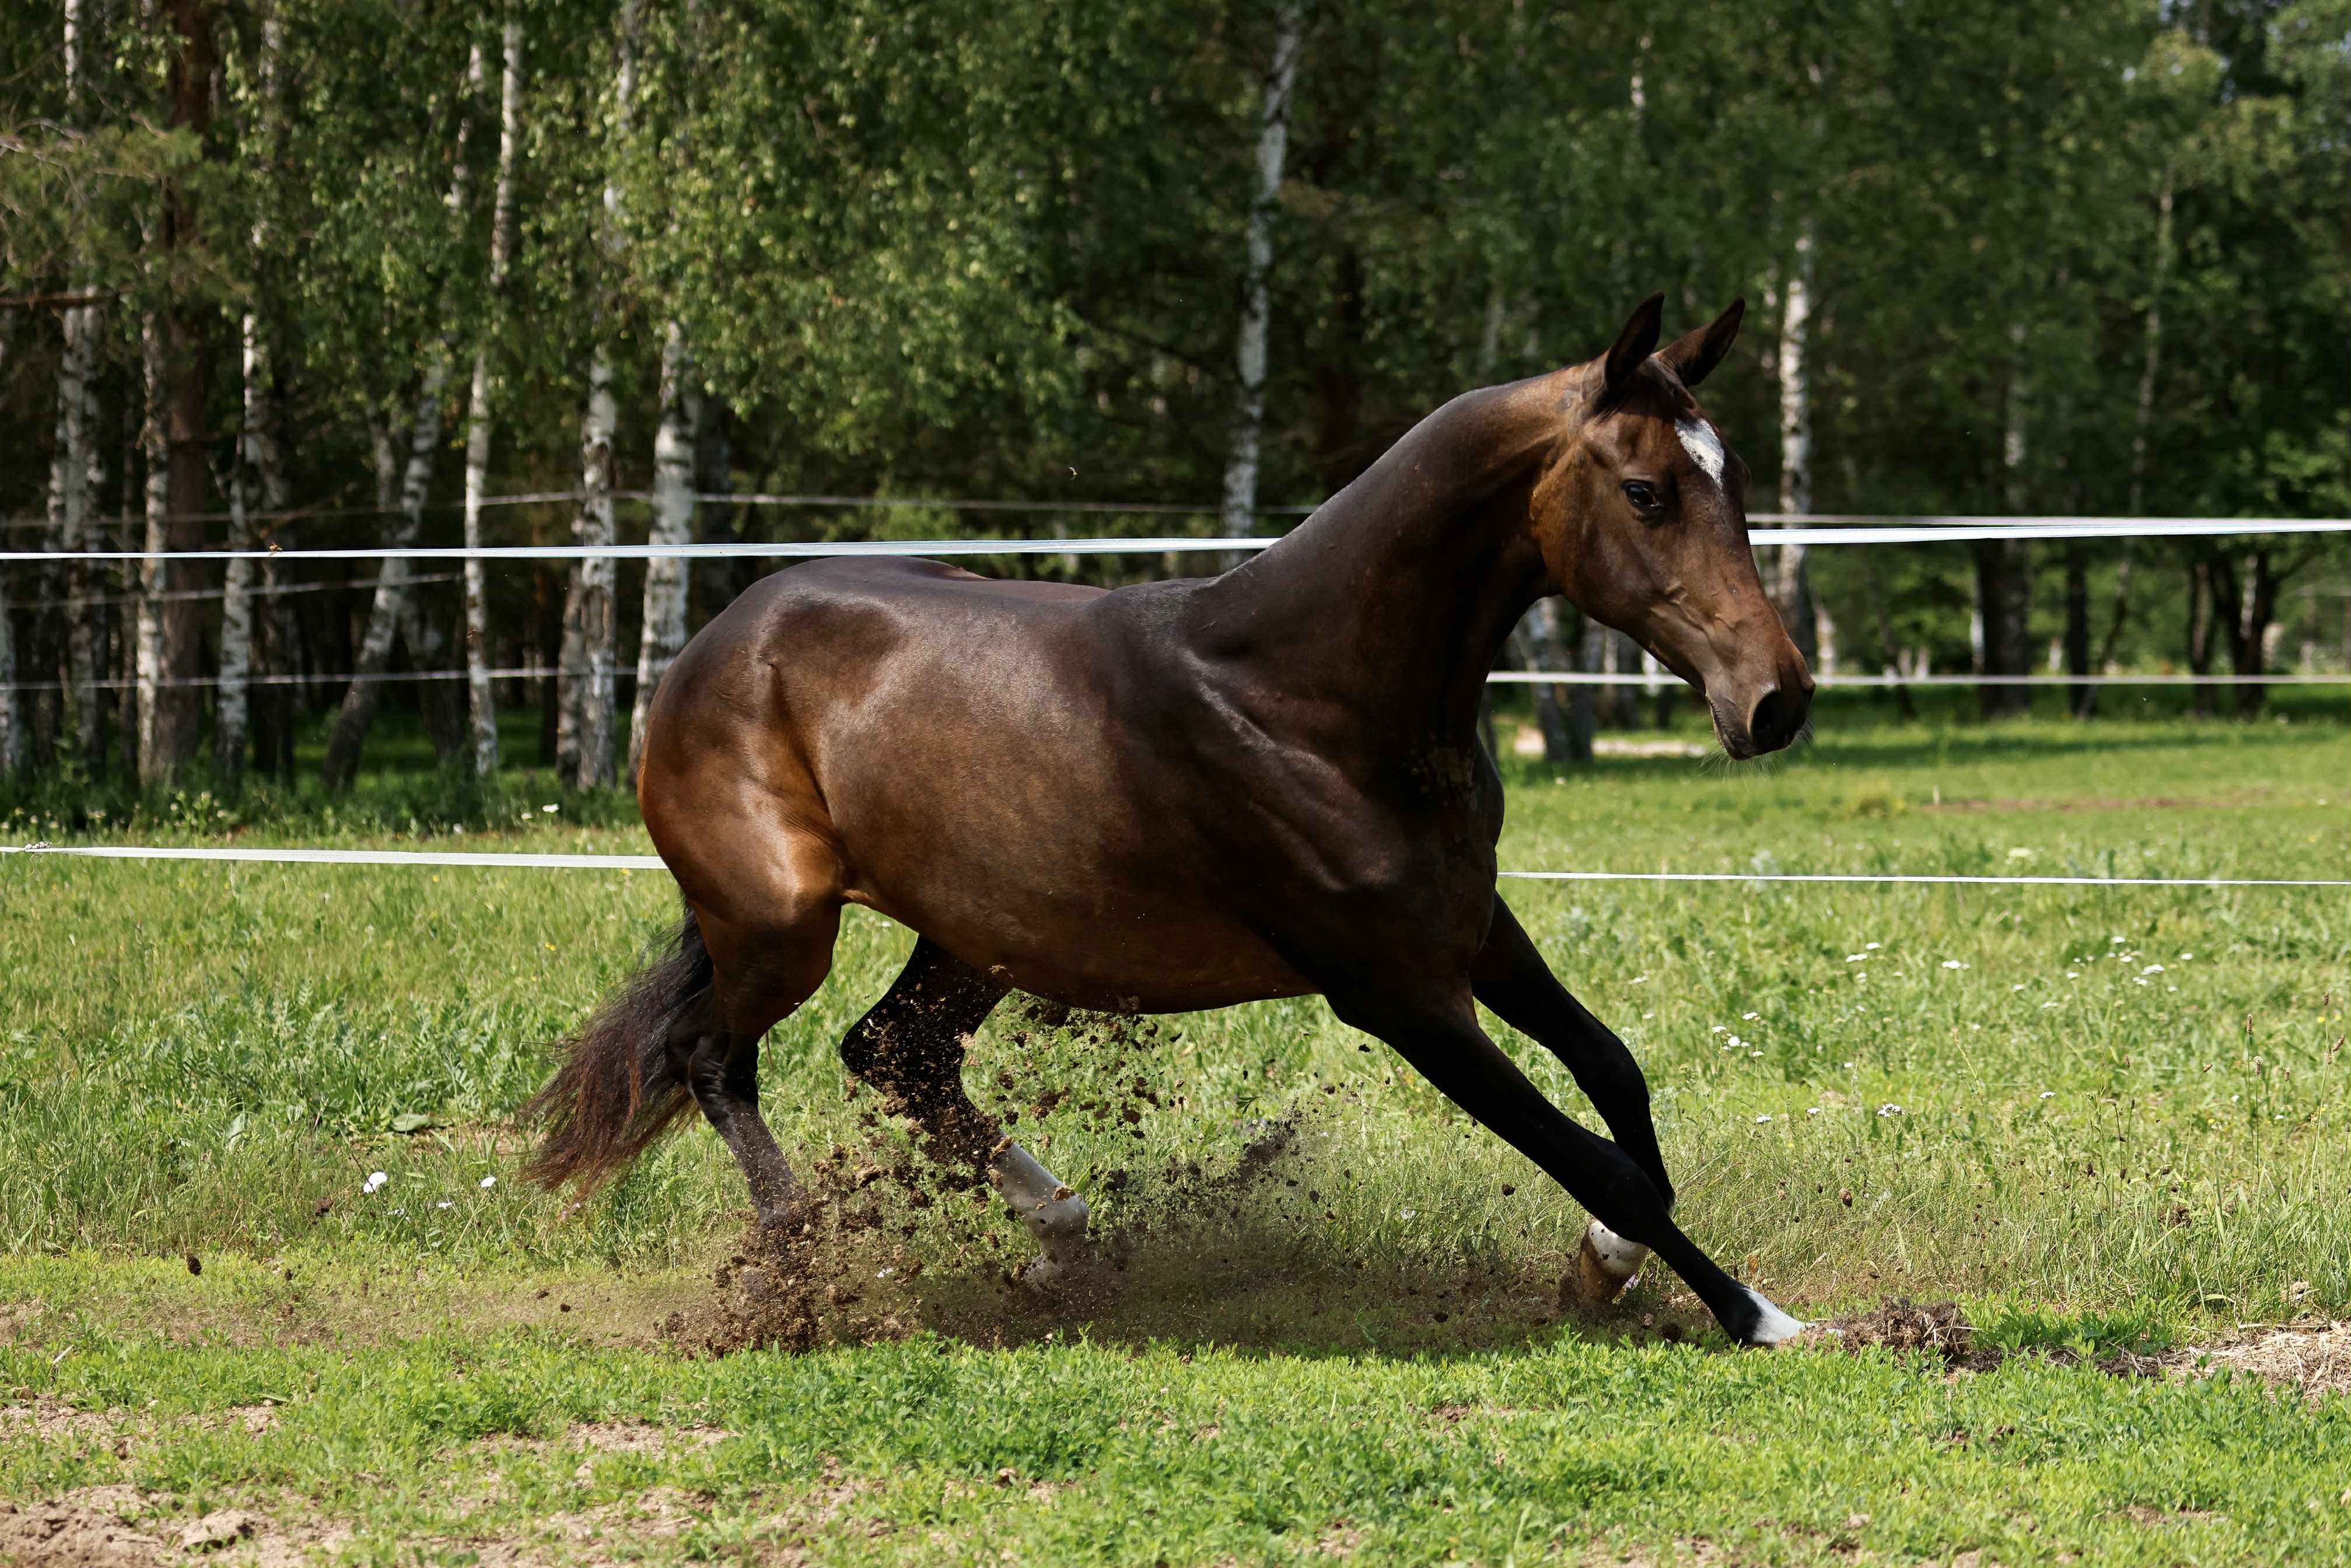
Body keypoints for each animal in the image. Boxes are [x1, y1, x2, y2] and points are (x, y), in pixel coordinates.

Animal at [525, 293, 1817, 1346]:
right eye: (1646, 492)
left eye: (1738, 483)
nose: (1777, 700)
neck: (1303, 695)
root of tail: (713, 642)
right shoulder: (1396, 990)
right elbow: (1593, 1156)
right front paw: (1758, 1316)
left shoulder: (1472, 929)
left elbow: (1614, 1075)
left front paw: (1606, 1268)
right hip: (782, 923)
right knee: (714, 1056)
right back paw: (799, 1274)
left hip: (975, 934)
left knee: (894, 1052)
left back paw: (1059, 1241)